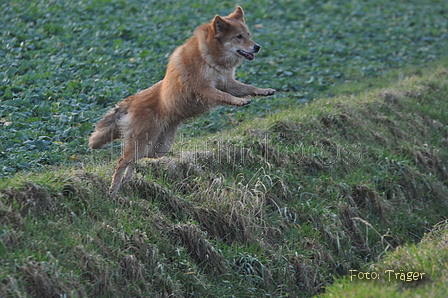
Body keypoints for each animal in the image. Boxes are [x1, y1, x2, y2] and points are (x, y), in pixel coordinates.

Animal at [89, 6, 274, 196]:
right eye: (239, 37)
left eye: (248, 34)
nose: (257, 47)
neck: (210, 57)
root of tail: (132, 100)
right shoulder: (205, 89)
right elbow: (226, 97)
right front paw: (239, 101)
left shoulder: (227, 83)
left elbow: (248, 87)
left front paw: (264, 91)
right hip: (144, 142)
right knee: (121, 160)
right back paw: (113, 189)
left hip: (158, 148)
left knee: (132, 159)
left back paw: (127, 178)